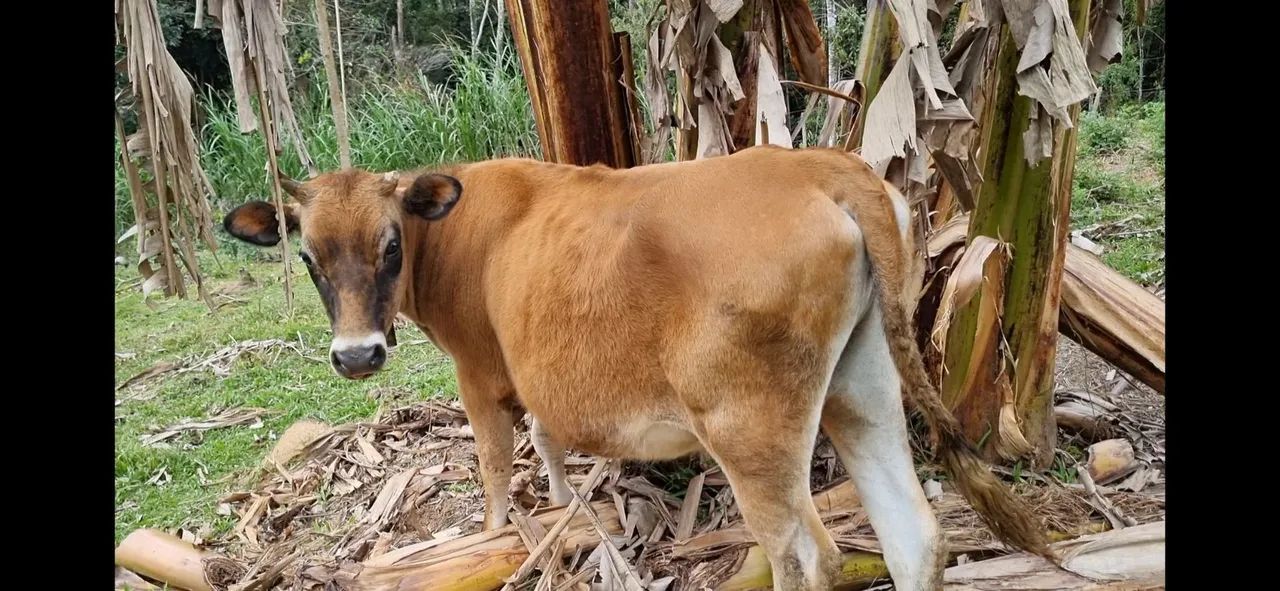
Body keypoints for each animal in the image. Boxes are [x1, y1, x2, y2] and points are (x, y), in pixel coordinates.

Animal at [223, 145, 1050, 590]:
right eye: (308, 256)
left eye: (390, 244)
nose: (356, 353)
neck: (456, 232)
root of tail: (819, 167)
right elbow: (548, 439)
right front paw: (562, 513)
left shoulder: (479, 372)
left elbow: (494, 466)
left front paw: (491, 541)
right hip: (863, 388)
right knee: (913, 534)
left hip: (750, 429)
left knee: (809, 555)